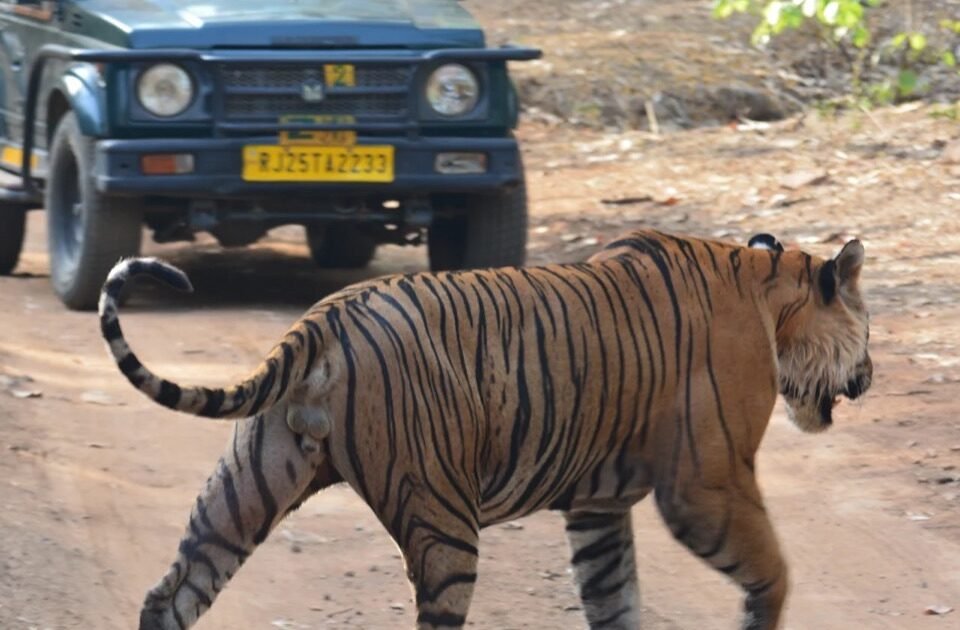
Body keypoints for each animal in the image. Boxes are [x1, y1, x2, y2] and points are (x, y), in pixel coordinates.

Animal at [98, 228, 872, 630]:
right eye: (868, 328)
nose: (869, 376)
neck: (768, 287)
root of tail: (324, 317)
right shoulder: (708, 481)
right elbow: (772, 571)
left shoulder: (598, 504)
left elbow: (613, 595)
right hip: (443, 515)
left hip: (246, 485)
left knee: (172, 595)